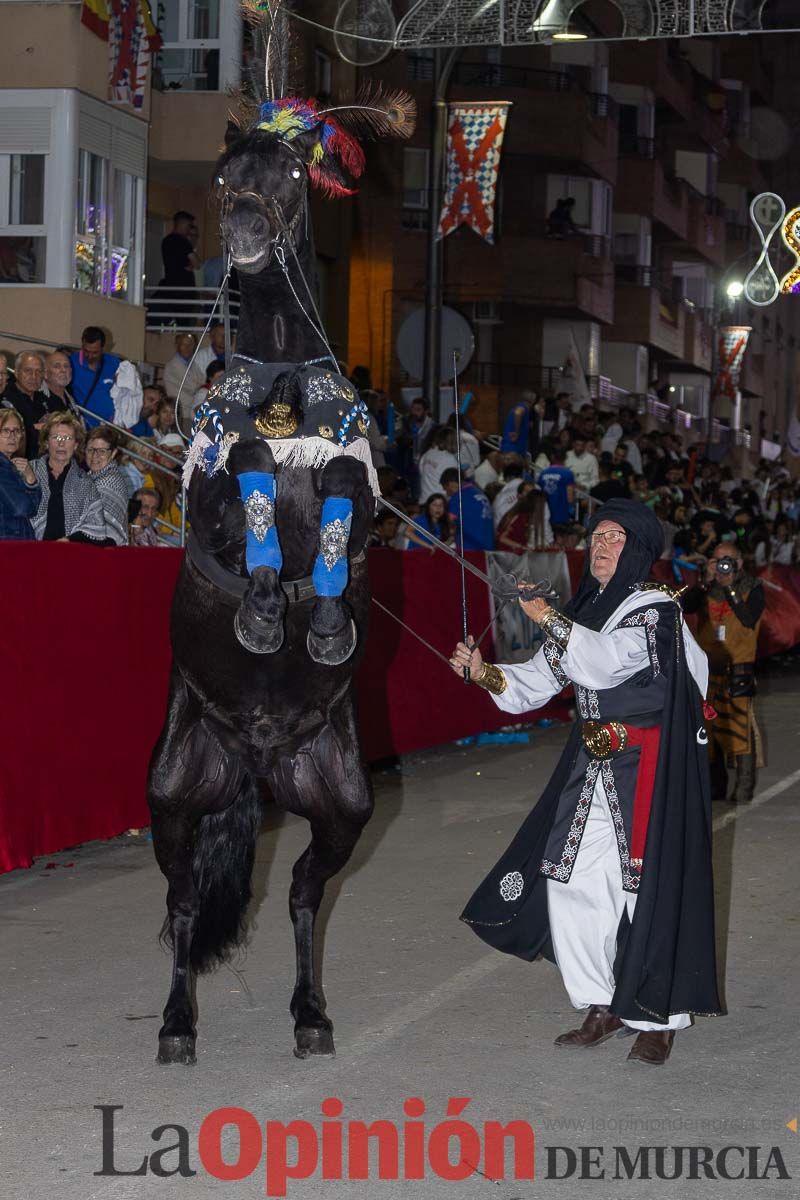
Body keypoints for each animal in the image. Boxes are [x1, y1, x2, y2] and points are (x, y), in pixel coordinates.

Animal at [148, 96, 417, 1070]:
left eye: (296, 174)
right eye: (227, 175)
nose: (247, 236)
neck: (281, 383)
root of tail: (258, 766)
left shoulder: (354, 468)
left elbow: (337, 488)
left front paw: (326, 622)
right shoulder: (220, 482)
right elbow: (254, 461)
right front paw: (265, 612)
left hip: (341, 803)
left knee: (303, 892)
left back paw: (311, 1013)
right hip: (175, 797)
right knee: (186, 899)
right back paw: (176, 1025)